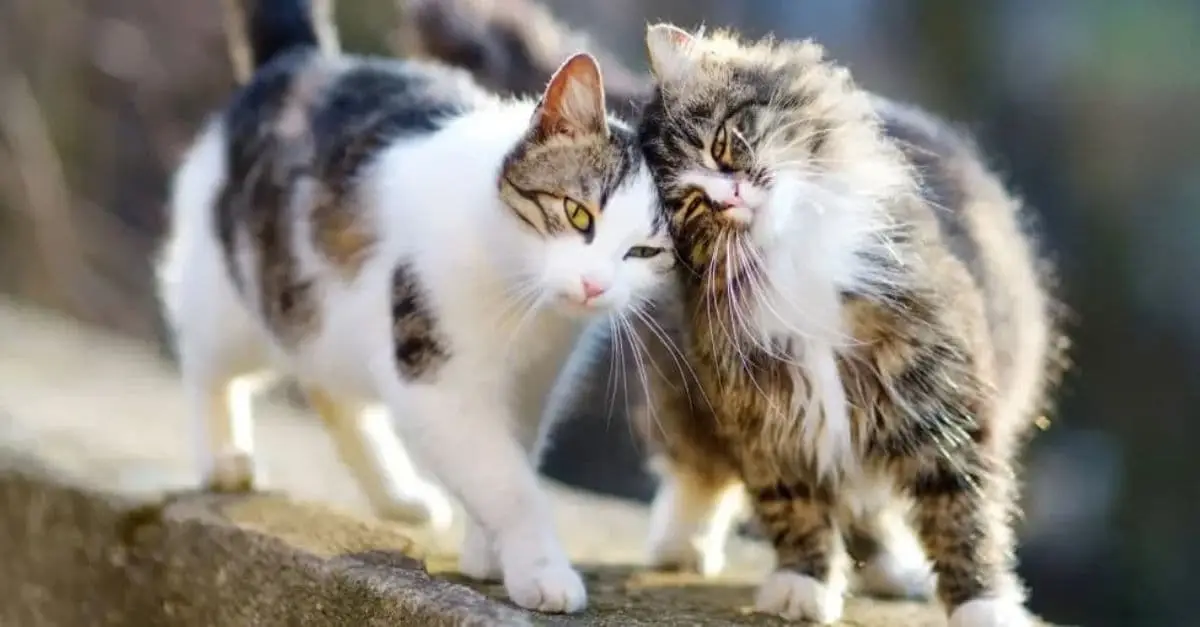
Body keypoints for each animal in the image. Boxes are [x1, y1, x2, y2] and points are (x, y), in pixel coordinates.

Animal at [153, 0, 672, 610]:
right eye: (577, 213)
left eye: (645, 252)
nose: (594, 285)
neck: (522, 302)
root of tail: (302, 60)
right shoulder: (435, 377)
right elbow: (505, 480)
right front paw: (541, 570)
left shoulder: (532, 385)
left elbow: (513, 455)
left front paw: (488, 553)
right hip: (235, 290)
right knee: (210, 361)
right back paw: (224, 457)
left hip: (328, 318)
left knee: (330, 390)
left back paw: (397, 495)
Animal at [633, 24, 1065, 624]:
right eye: (693, 206)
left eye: (720, 144)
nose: (730, 196)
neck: (794, 259)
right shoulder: (767, 417)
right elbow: (793, 507)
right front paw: (803, 584)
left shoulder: (938, 399)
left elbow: (962, 514)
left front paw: (982, 603)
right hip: (679, 390)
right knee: (697, 470)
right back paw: (682, 542)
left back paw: (895, 570)